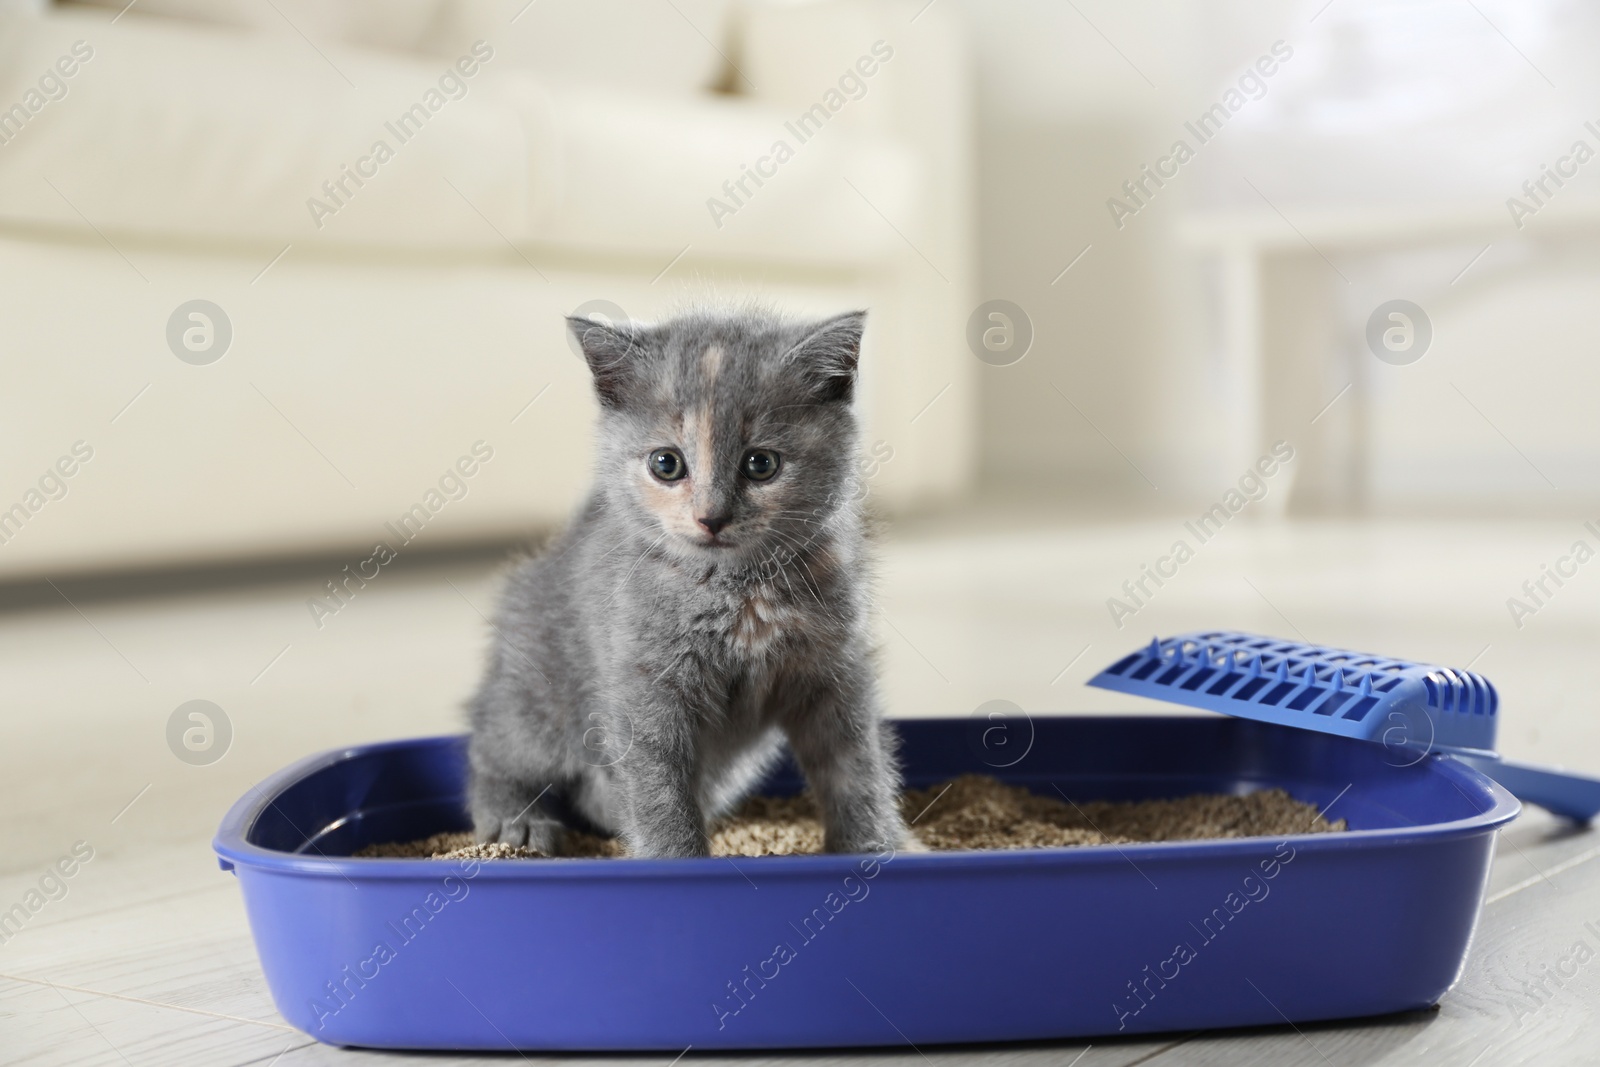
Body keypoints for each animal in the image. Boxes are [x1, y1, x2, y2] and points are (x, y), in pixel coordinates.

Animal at [467, 303, 915, 857]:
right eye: (666, 463)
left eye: (761, 463)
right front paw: (675, 859)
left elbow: (856, 765)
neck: (738, 590)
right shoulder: (643, 684)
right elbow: (659, 789)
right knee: (491, 745)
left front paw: (874, 845)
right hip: (538, 702)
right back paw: (513, 820)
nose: (711, 517)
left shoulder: (834, 669)